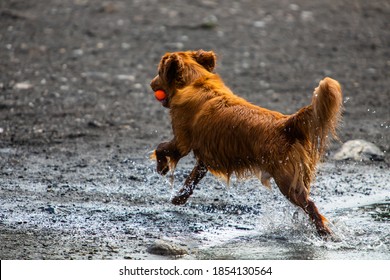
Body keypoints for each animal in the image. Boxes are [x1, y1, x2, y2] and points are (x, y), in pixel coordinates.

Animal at [149, 49, 342, 236]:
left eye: (159, 72)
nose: (151, 84)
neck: (195, 81)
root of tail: (285, 124)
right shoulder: (205, 155)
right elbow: (192, 177)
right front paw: (180, 198)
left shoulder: (182, 141)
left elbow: (161, 148)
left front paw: (162, 167)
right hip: (299, 177)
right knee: (307, 204)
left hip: (286, 181)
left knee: (310, 205)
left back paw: (324, 233)